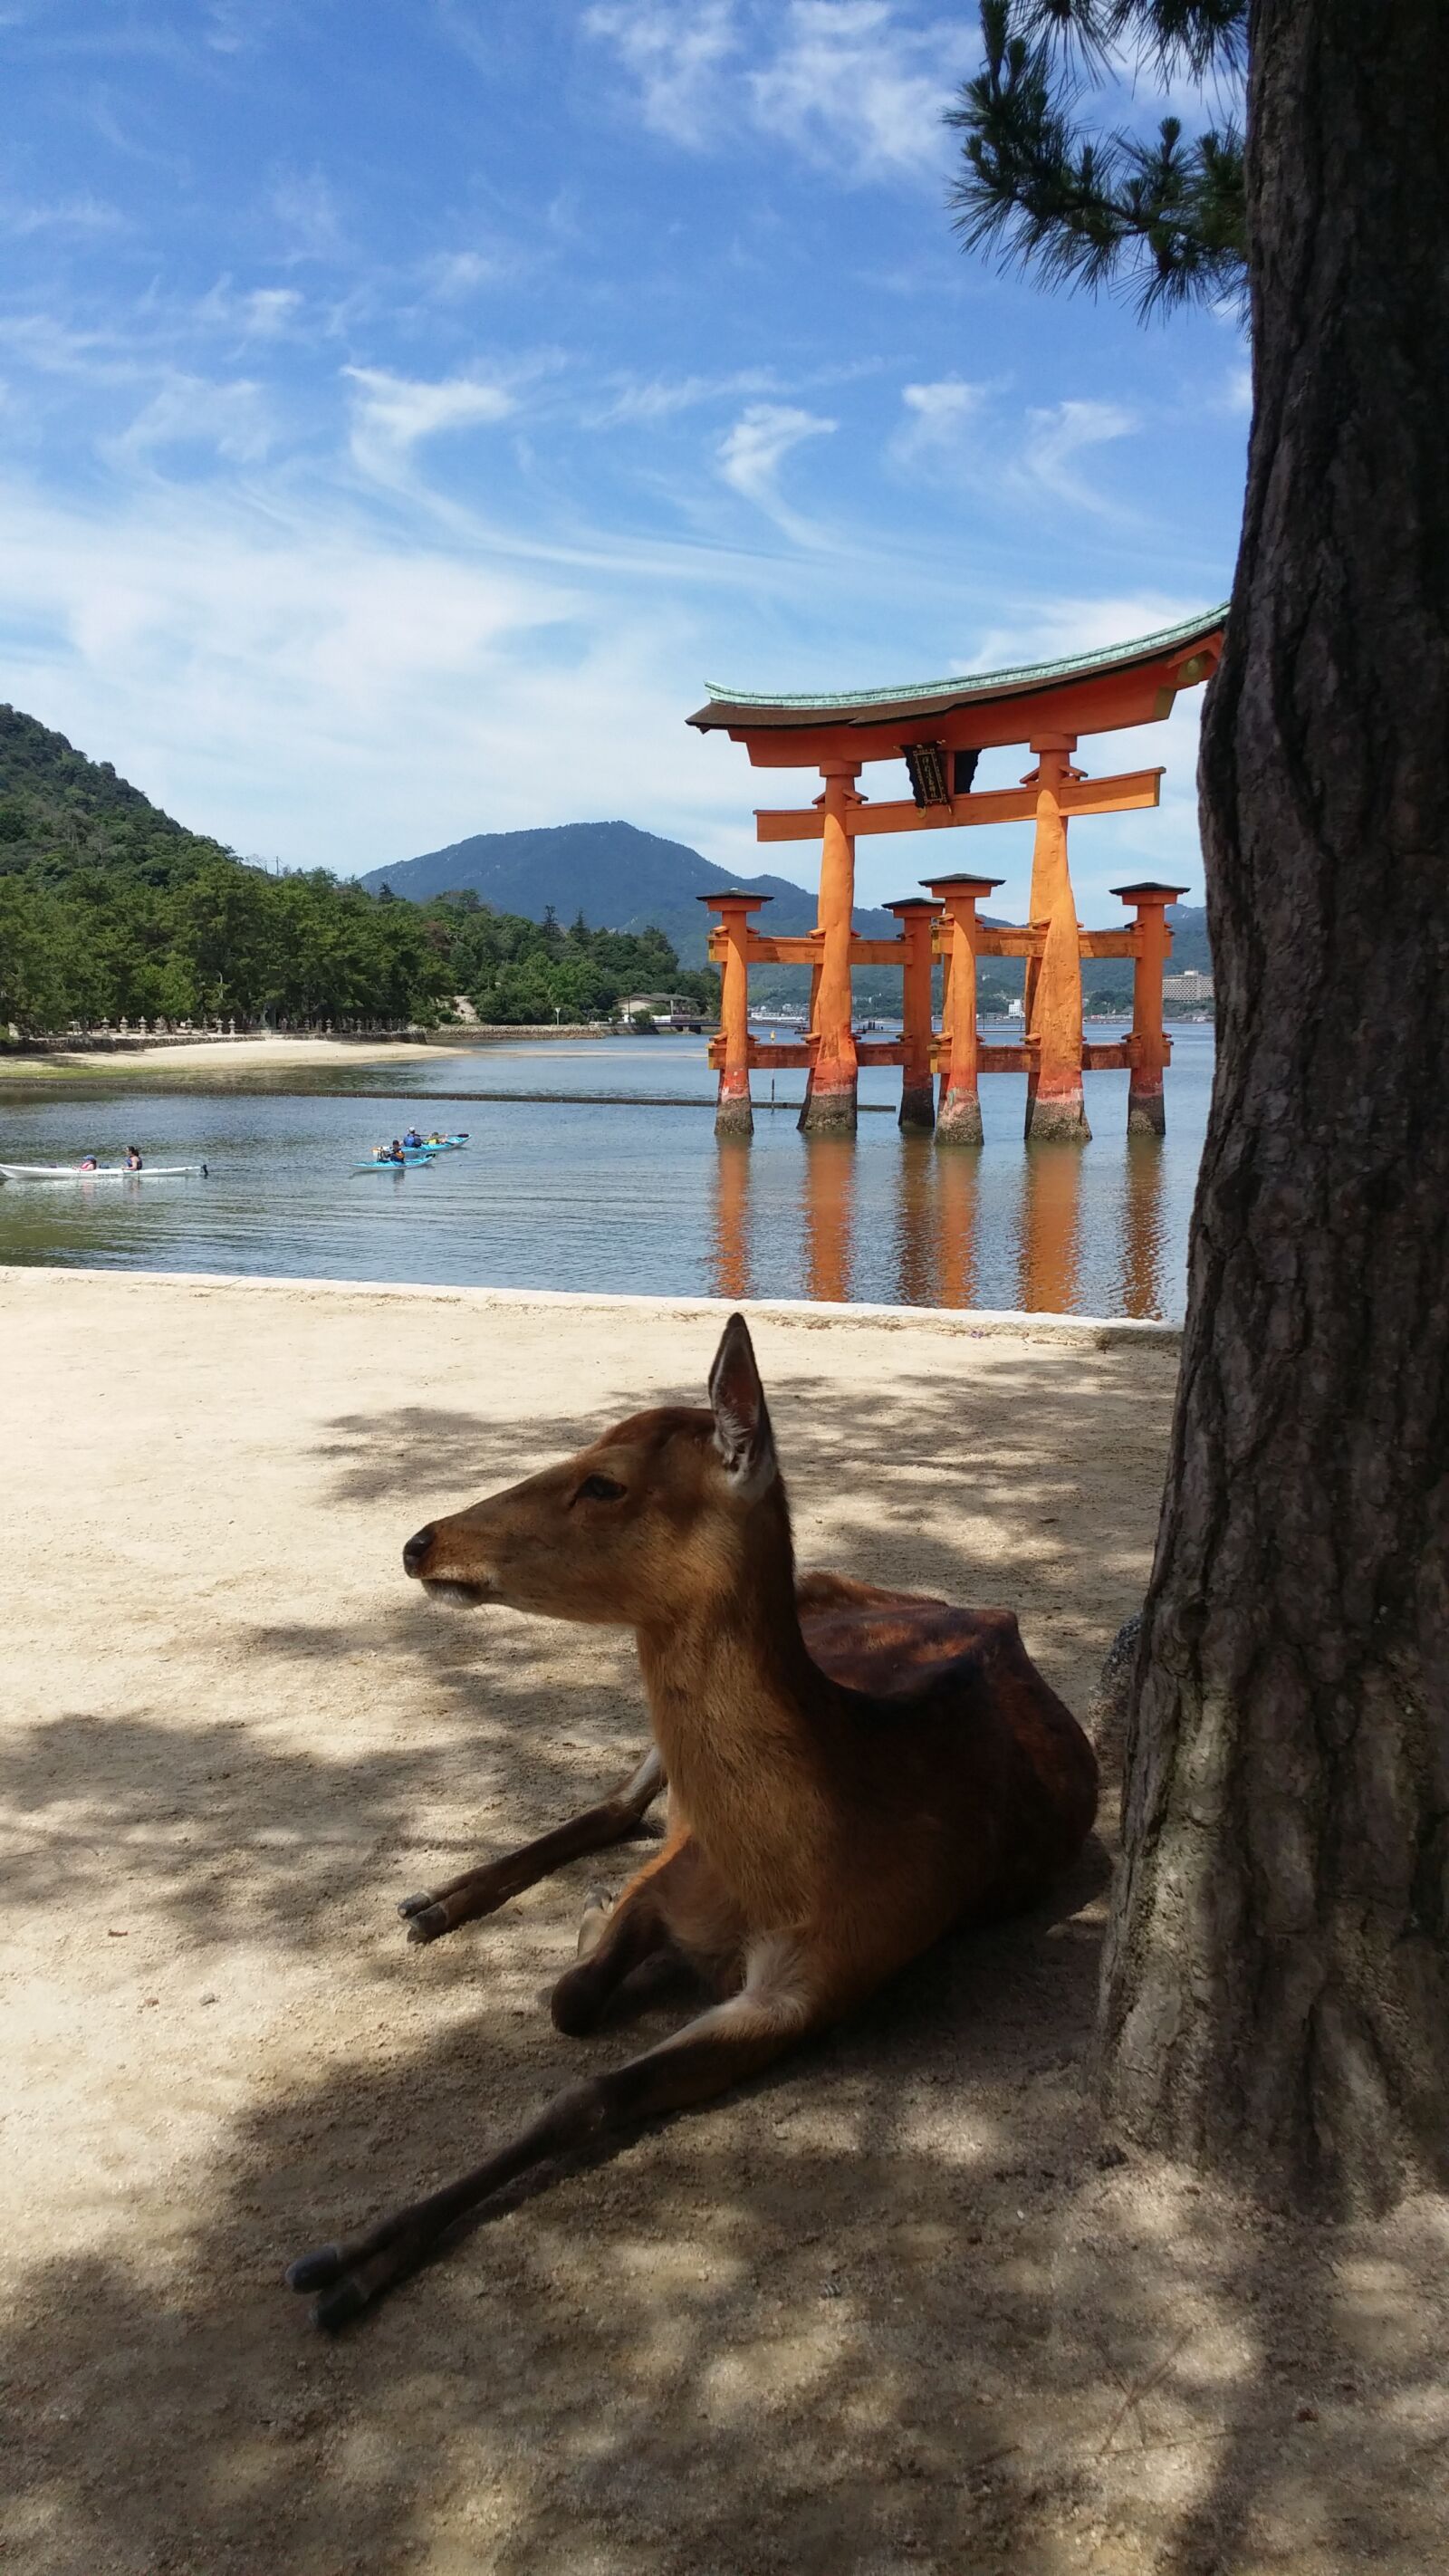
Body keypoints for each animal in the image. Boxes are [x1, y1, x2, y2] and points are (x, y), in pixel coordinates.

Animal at [286, 1319, 1101, 2328]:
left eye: (604, 1482)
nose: (420, 1542)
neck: (789, 1874)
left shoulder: (821, 1984)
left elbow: (588, 2083)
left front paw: (350, 2266)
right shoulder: (678, 1870)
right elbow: (569, 1999)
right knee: (616, 1802)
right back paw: (433, 1902)